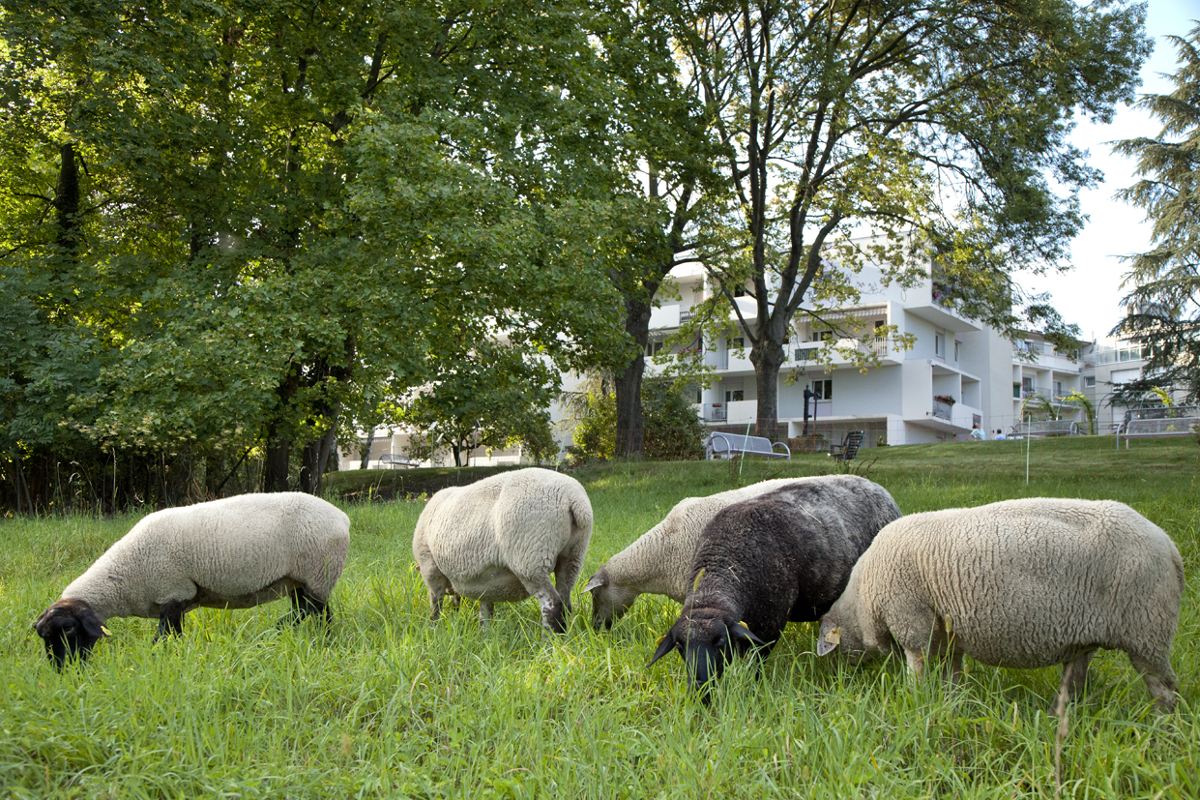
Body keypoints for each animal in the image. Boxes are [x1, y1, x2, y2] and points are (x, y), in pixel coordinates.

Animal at [32, 494, 350, 671]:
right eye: (43, 636)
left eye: (69, 629)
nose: (62, 672)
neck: (124, 574)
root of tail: (342, 517)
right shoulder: (177, 601)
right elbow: (174, 637)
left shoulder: (173, 594)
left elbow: (163, 639)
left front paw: (160, 659)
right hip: (299, 579)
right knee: (310, 611)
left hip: (318, 573)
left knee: (315, 612)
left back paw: (291, 634)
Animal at [412, 470, 595, 633]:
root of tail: (574, 500)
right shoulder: (484, 582)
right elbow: (485, 611)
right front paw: (485, 635)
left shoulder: (430, 567)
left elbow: (436, 602)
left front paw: (433, 627)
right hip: (572, 557)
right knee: (565, 601)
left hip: (531, 559)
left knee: (552, 604)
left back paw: (549, 642)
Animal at [648, 479, 902, 690]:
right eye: (680, 646)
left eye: (720, 641)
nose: (701, 688)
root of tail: (878, 487)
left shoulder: (770, 625)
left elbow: (756, 664)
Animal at [820, 501, 1185, 714]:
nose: (840, 681)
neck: (862, 597)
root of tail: (1169, 546)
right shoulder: (949, 629)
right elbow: (953, 670)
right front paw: (954, 701)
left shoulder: (910, 617)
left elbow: (917, 665)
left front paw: (914, 698)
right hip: (1090, 639)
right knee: (1075, 681)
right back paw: (1058, 715)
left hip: (1147, 631)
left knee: (1165, 688)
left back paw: (1160, 728)